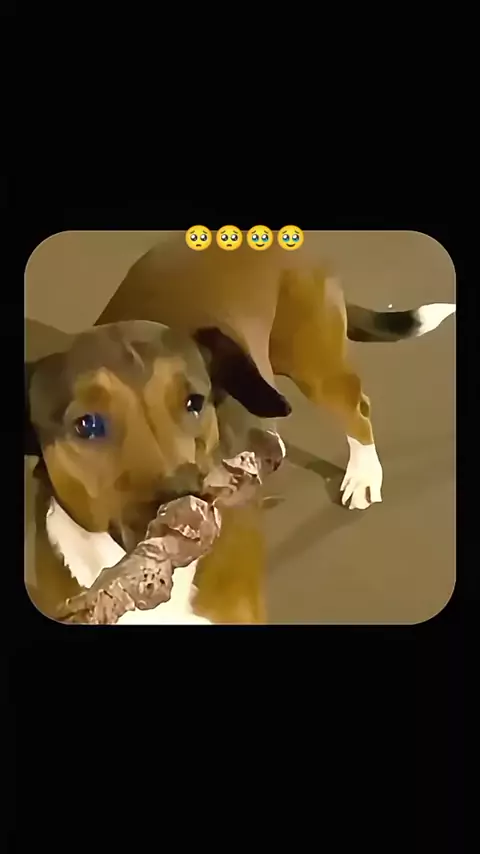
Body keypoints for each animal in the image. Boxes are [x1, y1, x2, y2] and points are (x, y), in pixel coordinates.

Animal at [25, 234, 455, 623]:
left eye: (194, 402)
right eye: (87, 424)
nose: (185, 510)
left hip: (315, 362)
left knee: (357, 409)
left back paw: (363, 475)